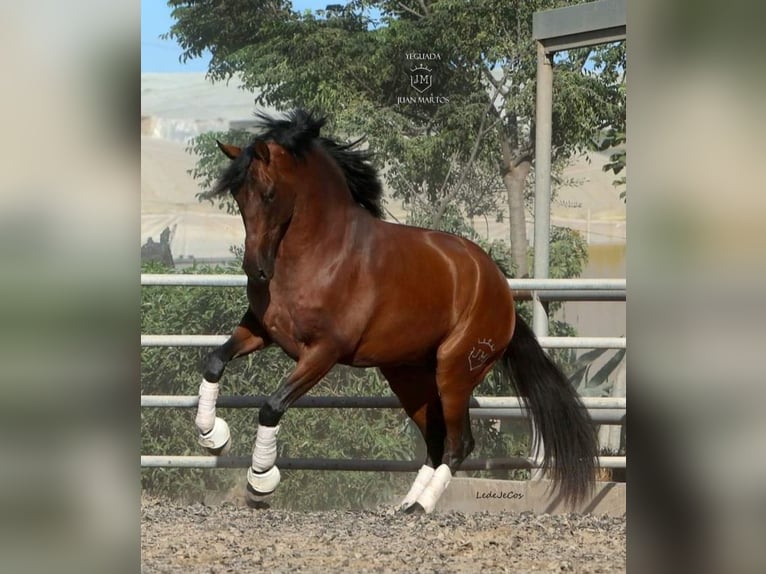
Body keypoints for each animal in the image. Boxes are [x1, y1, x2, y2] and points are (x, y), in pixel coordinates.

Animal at [194, 110, 600, 516]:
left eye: (268, 194)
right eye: (237, 196)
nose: (256, 270)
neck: (321, 254)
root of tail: (500, 288)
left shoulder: (323, 352)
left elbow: (272, 405)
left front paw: (259, 482)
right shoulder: (262, 330)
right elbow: (215, 361)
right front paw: (212, 436)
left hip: (455, 372)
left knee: (458, 443)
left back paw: (421, 507)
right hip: (409, 378)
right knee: (435, 440)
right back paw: (406, 504)